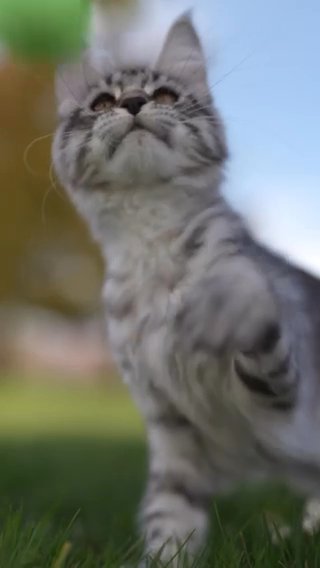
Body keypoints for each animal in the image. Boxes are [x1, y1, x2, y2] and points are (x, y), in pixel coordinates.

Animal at [52, 13, 320, 564]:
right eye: (103, 103)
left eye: (164, 95)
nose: (135, 103)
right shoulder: (173, 435)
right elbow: (168, 519)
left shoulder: (285, 394)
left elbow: (251, 299)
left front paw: (214, 303)